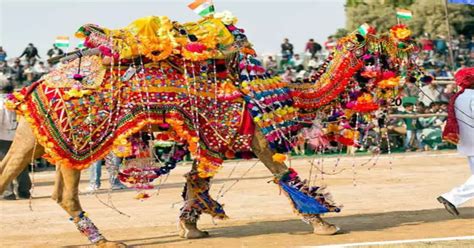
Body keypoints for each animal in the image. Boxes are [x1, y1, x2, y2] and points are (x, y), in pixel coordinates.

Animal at [0, 7, 418, 248]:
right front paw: (323, 223)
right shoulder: (250, 131)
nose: (415, 71)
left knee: (18, 174)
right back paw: (104, 240)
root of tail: (37, 84)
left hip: (38, 135)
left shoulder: (213, 139)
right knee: (65, 193)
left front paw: (191, 228)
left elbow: (198, 182)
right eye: (382, 52)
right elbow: (282, 172)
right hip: (79, 138)